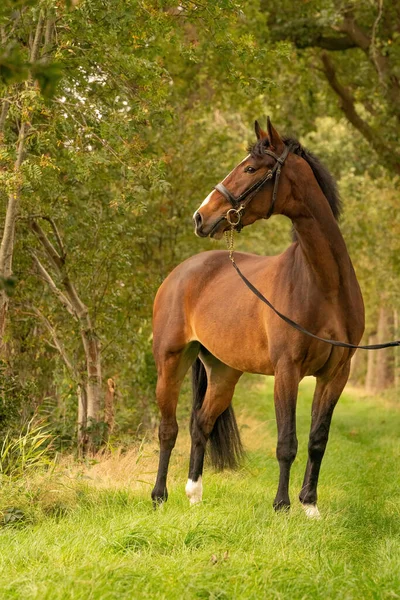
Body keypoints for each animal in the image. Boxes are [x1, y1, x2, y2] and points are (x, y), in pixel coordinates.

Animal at [152, 117, 364, 516]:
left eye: (250, 169)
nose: (201, 216)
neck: (324, 285)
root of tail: (182, 272)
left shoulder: (336, 374)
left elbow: (317, 439)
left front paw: (309, 507)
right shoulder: (287, 370)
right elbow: (286, 443)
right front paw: (282, 506)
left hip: (223, 371)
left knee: (201, 424)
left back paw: (194, 494)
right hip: (171, 360)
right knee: (168, 429)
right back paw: (159, 495)